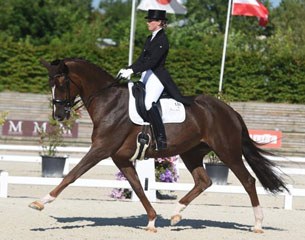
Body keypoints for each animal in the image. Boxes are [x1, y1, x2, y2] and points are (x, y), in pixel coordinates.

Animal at [29, 58, 286, 232]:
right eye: (50, 83)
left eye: (62, 82)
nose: (59, 115)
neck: (109, 102)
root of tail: (229, 111)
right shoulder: (120, 158)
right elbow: (138, 187)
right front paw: (152, 220)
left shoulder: (100, 149)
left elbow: (72, 175)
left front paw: (41, 202)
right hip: (191, 153)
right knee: (204, 181)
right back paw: (176, 214)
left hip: (227, 152)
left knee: (248, 181)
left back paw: (258, 224)